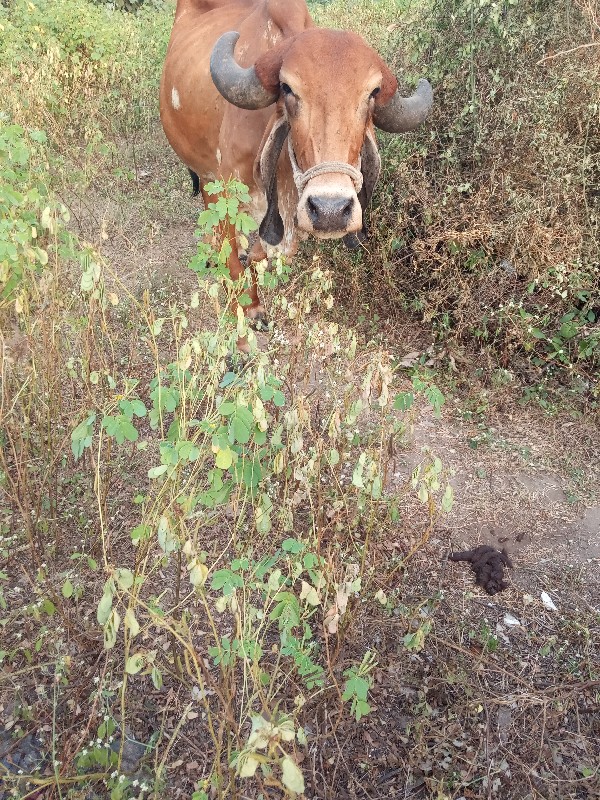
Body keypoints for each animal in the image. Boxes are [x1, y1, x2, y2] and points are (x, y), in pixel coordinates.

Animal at [159, 0, 432, 350]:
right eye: (287, 88)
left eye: (372, 94)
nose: (331, 210)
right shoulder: (231, 197)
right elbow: (233, 264)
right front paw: (244, 334)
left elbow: (265, 255)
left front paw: (254, 287)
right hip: (207, 173)